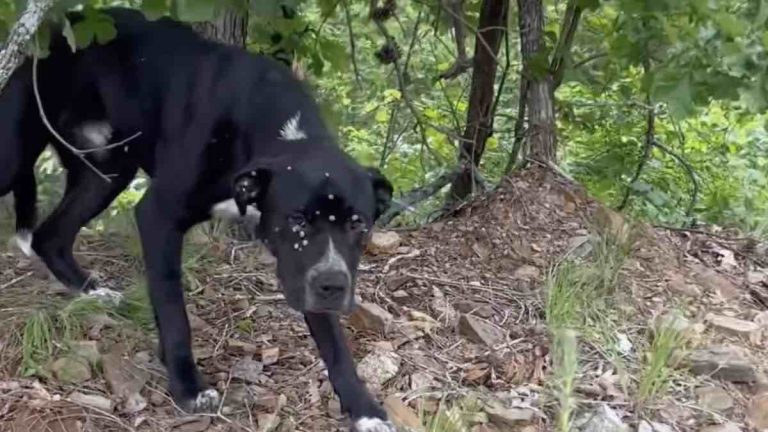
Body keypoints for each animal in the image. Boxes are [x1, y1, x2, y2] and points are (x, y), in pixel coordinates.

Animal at [0, 8, 396, 430]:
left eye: (358, 223)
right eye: (297, 220)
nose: (333, 286)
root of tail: (65, 21)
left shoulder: (307, 270)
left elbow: (336, 345)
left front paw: (364, 407)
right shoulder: (159, 216)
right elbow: (174, 311)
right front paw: (188, 386)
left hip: (107, 171)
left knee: (51, 235)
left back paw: (92, 290)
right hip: (15, 155)